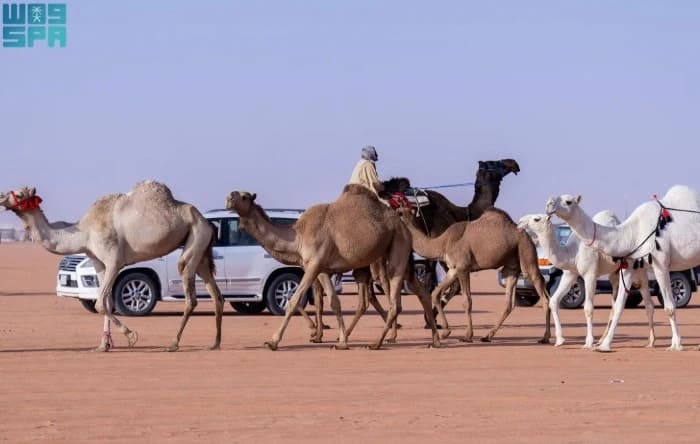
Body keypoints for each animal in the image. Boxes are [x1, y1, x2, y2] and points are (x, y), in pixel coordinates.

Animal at [0, 182, 223, 352]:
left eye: (19, 194)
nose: (1, 196)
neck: (83, 233)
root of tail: (207, 222)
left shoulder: (114, 260)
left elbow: (100, 304)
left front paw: (131, 335)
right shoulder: (99, 262)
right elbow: (105, 302)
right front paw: (103, 345)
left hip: (195, 238)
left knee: (190, 294)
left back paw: (174, 343)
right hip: (201, 249)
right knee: (216, 294)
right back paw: (215, 343)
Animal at [225, 186, 440, 350]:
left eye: (244, 196)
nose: (229, 197)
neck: (298, 236)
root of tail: (403, 224)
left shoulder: (314, 264)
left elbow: (294, 301)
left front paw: (273, 342)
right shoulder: (322, 269)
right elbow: (334, 302)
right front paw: (341, 341)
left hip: (396, 248)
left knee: (395, 301)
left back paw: (377, 343)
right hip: (398, 256)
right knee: (420, 292)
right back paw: (435, 339)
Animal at [397, 207, 552, 343]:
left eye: (399, 212)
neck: (443, 243)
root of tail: (527, 236)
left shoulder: (463, 267)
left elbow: (467, 301)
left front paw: (467, 336)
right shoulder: (453, 269)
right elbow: (436, 293)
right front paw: (446, 332)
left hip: (526, 252)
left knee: (542, 291)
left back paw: (545, 337)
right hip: (512, 267)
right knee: (509, 302)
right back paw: (487, 336)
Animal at [517, 212, 655, 348]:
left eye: (536, 219)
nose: (519, 222)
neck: (571, 252)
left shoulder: (590, 274)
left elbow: (588, 308)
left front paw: (588, 342)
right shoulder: (570, 274)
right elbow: (554, 301)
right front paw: (560, 340)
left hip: (636, 268)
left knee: (647, 301)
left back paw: (651, 341)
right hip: (615, 274)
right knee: (616, 304)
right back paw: (603, 340)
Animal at [546, 185, 700, 351]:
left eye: (568, 201)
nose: (548, 204)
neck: (632, 233)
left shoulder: (661, 264)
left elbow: (669, 307)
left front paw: (676, 344)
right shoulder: (629, 266)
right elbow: (619, 306)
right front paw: (604, 345)